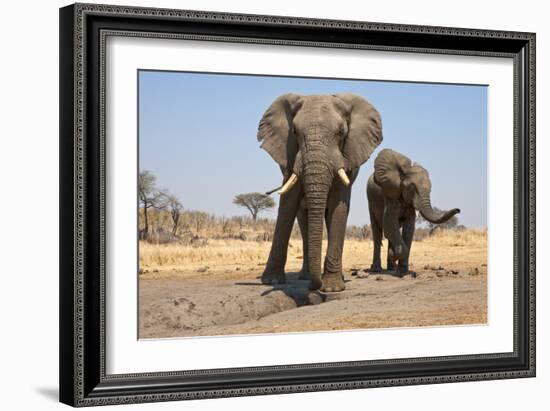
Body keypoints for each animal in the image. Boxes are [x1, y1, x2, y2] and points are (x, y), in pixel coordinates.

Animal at [258, 93, 384, 292]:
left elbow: (339, 206)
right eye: (294, 132)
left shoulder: (346, 157)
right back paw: (305, 276)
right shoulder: (291, 156)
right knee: (304, 219)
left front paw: (332, 288)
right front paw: (272, 281)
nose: (313, 287)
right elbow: (287, 205)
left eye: (341, 132)